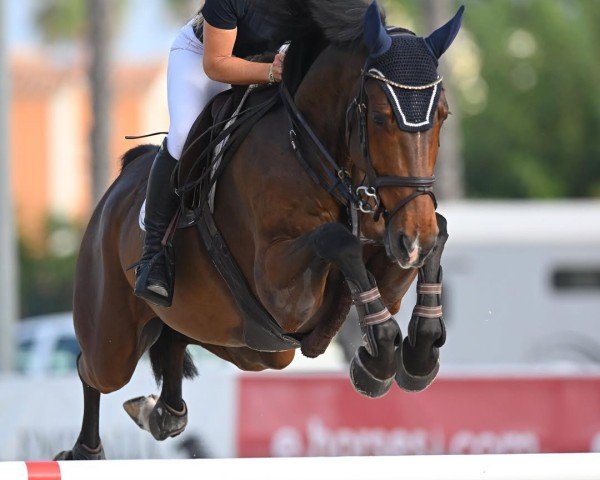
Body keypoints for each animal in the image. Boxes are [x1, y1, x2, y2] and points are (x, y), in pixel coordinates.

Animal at [54, 0, 462, 460]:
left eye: (443, 116)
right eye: (378, 117)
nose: (413, 240)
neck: (315, 155)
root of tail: (114, 192)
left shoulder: (390, 243)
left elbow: (435, 235)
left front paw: (417, 353)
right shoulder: (281, 291)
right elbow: (337, 241)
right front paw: (378, 356)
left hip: (247, 345)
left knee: (175, 343)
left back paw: (161, 413)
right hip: (114, 339)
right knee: (92, 369)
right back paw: (84, 451)